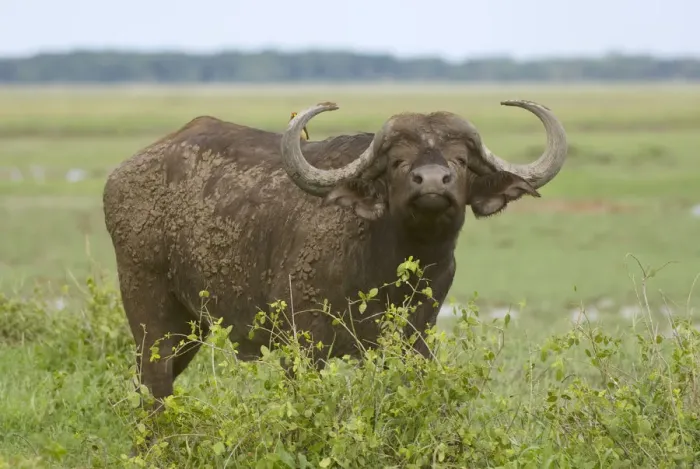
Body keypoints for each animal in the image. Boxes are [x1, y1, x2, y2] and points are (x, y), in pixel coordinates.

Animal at [103, 99, 568, 408]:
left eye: (461, 160)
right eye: (397, 161)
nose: (433, 181)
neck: (383, 263)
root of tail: (120, 176)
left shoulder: (416, 340)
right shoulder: (303, 348)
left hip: (189, 327)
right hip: (150, 316)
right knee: (154, 388)